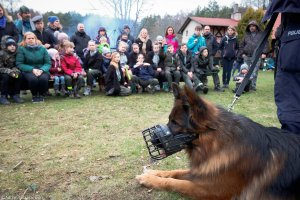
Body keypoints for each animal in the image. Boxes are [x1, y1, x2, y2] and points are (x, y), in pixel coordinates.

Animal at [137, 83, 300, 199]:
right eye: (169, 120)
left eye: (175, 123)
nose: (152, 139)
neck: (216, 142)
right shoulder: (205, 170)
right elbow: (175, 172)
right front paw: (152, 173)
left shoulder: (213, 190)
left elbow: (176, 183)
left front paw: (149, 179)